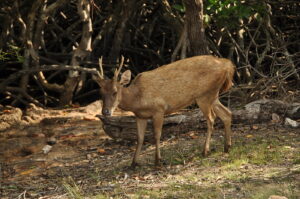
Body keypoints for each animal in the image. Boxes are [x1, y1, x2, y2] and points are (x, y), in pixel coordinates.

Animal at [92, 55, 236, 168]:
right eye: (101, 93)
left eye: (115, 92)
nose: (106, 112)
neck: (138, 99)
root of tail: (227, 65)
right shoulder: (140, 116)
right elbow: (140, 138)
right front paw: (133, 163)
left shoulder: (159, 109)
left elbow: (157, 135)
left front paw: (158, 161)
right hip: (213, 94)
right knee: (227, 113)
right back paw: (227, 147)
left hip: (204, 95)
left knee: (211, 119)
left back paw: (205, 151)